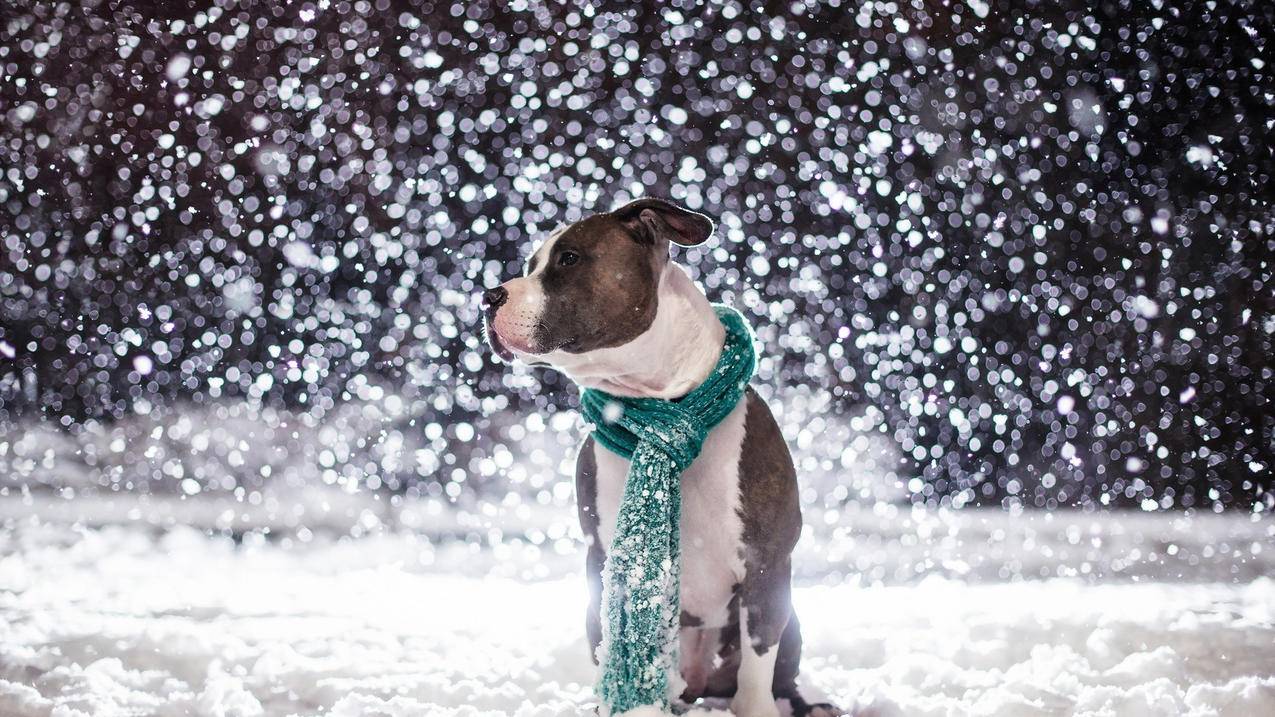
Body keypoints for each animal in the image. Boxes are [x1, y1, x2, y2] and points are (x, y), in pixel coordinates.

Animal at [479, 196, 836, 714]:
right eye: (530, 266)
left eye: (569, 259)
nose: (488, 297)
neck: (662, 403)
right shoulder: (602, 559)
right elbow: (607, 641)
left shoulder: (767, 565)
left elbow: (756, 669)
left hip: (787, 626)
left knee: (779, 673)